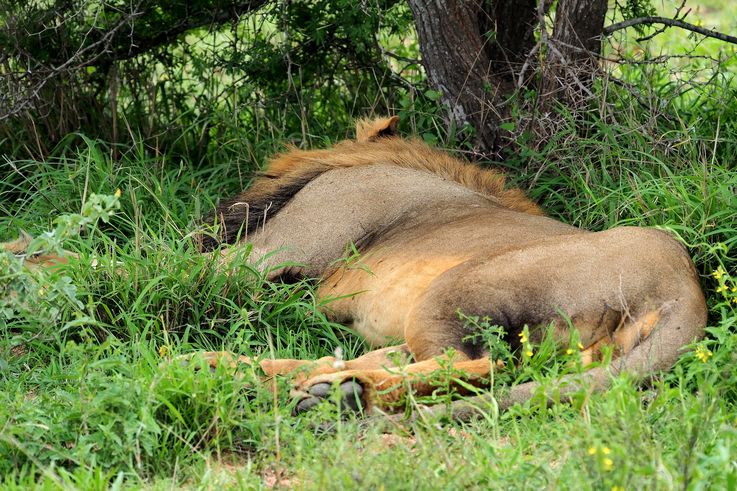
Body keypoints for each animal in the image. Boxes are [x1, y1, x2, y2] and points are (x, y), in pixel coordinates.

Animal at [3, 116, 707, 420]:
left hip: (459, 289)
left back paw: (336, 393)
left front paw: (22, 263)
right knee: (387, 362)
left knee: (477, 369)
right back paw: (269, 379)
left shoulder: (257, 259)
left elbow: (125, 261)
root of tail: (685, 287)